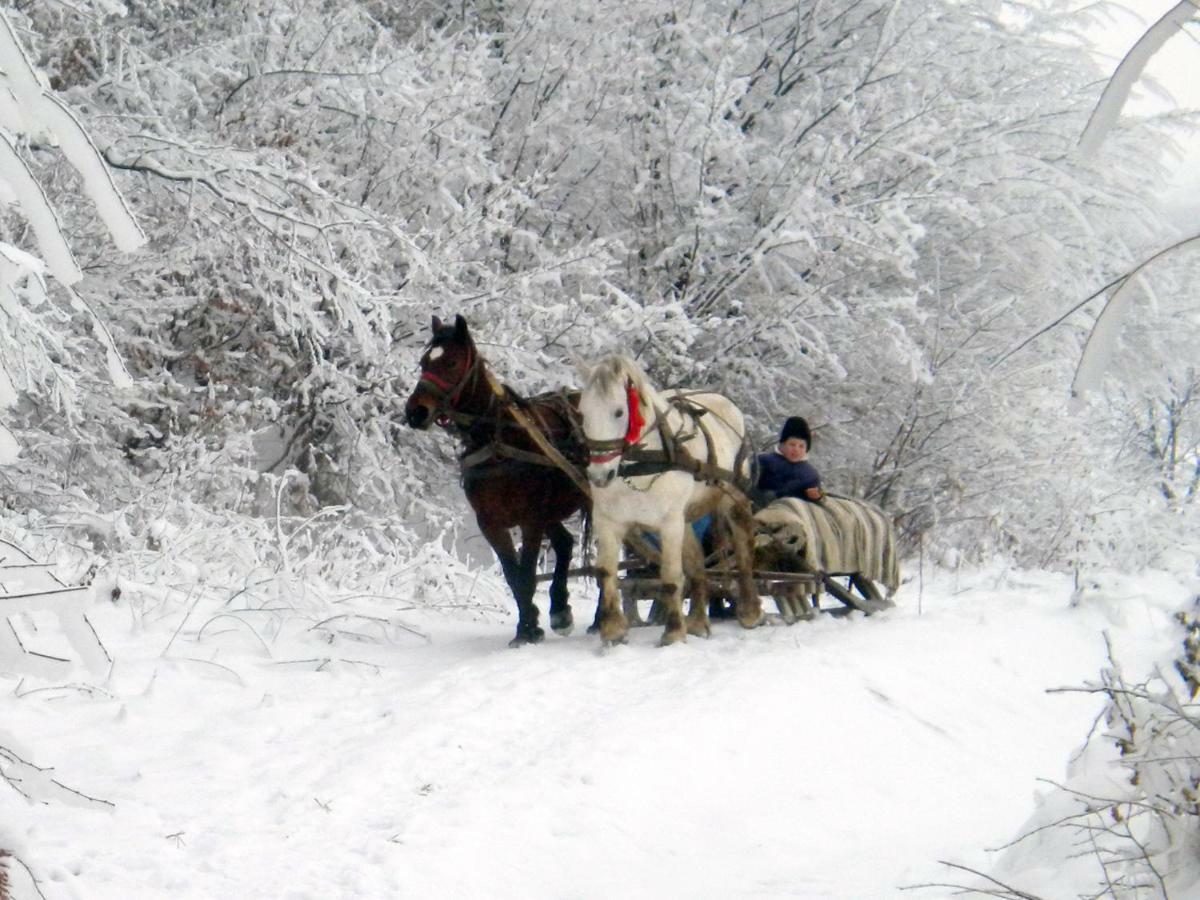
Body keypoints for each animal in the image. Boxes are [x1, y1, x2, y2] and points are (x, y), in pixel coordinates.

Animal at [405, 316, 588, 648]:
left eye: (451, 362)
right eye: (424, 362)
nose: (415, 412)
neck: (499, 440)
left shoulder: (530, 520)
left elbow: (526, 575)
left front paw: (529, 630)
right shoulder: (490, 522)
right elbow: (513, 577)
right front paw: (528, 625)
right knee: (565, 544)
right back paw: (560, 609)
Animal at [573, 355, 758, 643]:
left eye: (619, 412)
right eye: (582, 413)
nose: (600, 476)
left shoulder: (668, 522)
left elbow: (671, 576)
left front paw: (673, 633)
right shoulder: (608, 520)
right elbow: (606, 572)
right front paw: (613, 630)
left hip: (732, 498)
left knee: (743, 548)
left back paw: (750, 611)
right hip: (687, 517)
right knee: (697, 565)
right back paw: (698, 621)